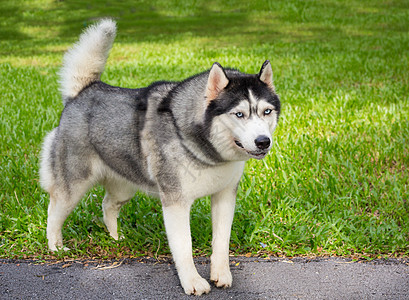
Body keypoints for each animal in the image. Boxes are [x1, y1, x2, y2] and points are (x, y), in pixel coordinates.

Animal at [39, 19, 278, 296]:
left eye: (266, 111)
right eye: (239, 114)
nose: (263, 141)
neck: (205, 148)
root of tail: (84, 91)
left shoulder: (225, 196)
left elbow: (221, 241)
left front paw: (221, 274)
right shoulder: (176, 202)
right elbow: (184, 246)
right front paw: (193, 282)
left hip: (124, 185)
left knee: (107, 205)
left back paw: (116, 238)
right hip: (74, 184)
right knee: (54, 210)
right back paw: (55, 247)